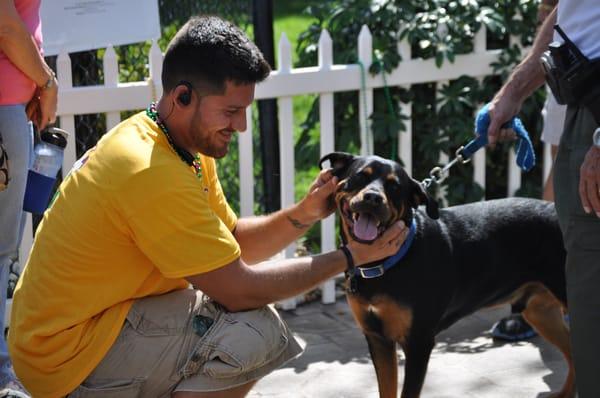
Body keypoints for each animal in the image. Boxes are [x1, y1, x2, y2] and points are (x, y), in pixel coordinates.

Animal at [322, 152, 576, 398]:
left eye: (394, 187)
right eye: (360, 176)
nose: (373, 198)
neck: (385, 263)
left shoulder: (419, 342)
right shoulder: (378, 339)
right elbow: (387, 389)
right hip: (539, 312)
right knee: (573, 354)